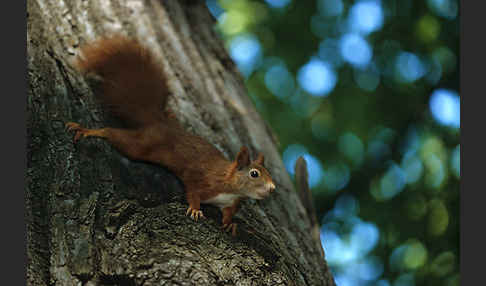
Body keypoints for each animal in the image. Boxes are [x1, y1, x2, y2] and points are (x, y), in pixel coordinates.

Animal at [66, 35, 276, 236]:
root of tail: (160, 122)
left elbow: (228, 214)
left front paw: (230, 224)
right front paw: (195, 209)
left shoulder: (230, 203)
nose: (272, 188)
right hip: (141, 145)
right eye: (254, 173)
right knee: (112, 134)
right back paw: (86, 130)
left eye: (268, 172)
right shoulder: (201, 180)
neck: (231, 186)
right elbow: (193, 192)